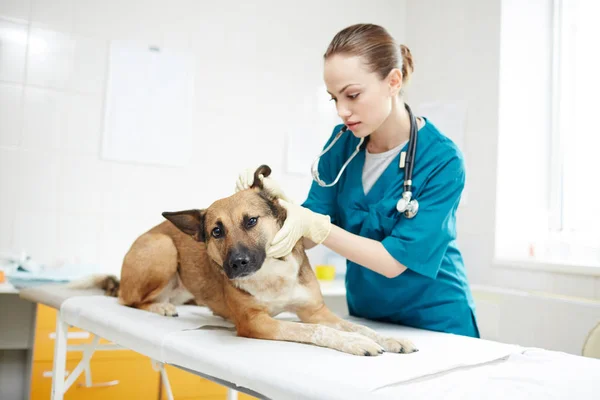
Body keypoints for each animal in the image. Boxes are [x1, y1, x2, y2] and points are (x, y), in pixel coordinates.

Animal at [74, 166, 418, 356]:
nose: (236, 263)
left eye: (251, 221)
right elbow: (318, 332)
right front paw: (354, 343)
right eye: (216, 231)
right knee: (129, 300)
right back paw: (160, 307)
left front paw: (390, 338)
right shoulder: (257, 323)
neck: (272, 273)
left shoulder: (316, 311)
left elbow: (357, 326)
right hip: (162, 247)